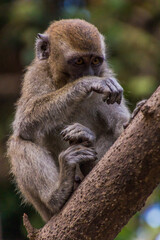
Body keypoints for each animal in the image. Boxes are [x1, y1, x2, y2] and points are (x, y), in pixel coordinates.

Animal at [7, 18, 130, 221]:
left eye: (95, 60)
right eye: (79, 61)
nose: (89, 73)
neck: (62, 81)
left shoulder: (105, 73)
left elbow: (122, 125)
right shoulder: (36, 75)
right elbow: (24, 122)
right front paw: (86, 83)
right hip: (44, 210)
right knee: (18, 142)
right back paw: (56, 195)